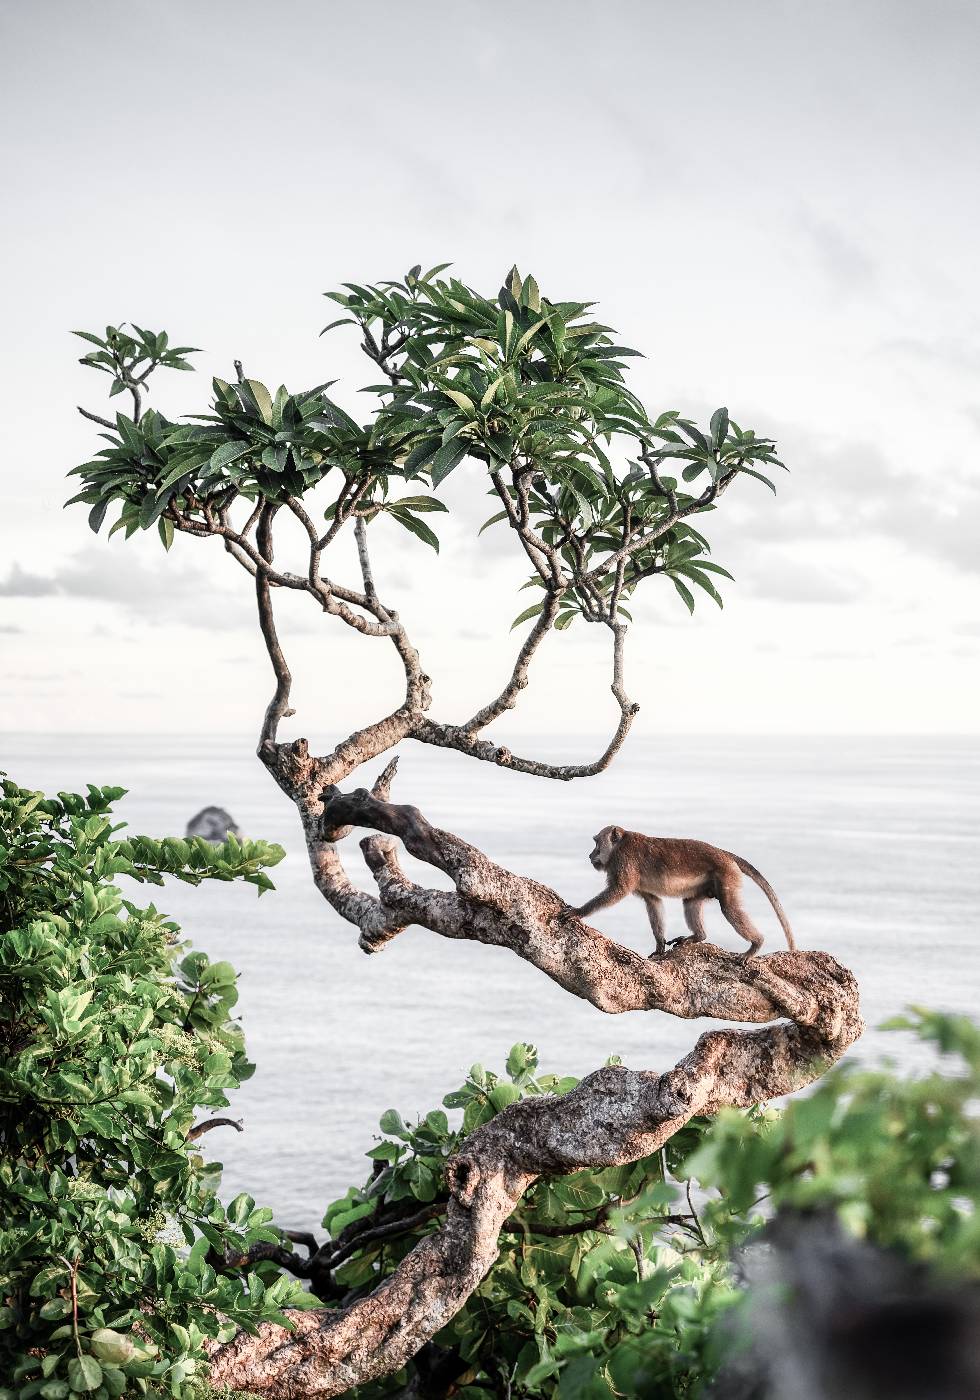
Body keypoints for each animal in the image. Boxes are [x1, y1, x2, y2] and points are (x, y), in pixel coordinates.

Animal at [570, 825, 795, 959]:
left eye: (596, 843)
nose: (590, 855)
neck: (620, 845)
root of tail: (725, 854)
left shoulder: (624, 862)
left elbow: (618, 890)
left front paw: (579, 912)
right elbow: (653, 901)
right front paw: (659, 945)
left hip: (726, 876)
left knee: (729, 908)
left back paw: (756, 945)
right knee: (690, 902)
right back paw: (698, 936)